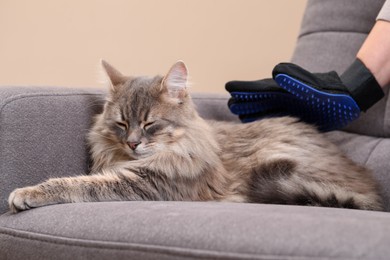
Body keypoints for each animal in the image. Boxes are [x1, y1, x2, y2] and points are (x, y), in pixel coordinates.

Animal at [8, 60, 384, 212]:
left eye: (149, 124)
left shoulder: (145, 183)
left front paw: (24, 194)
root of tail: (374, 191)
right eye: (121, 124)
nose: (132, 143)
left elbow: (74, 185)